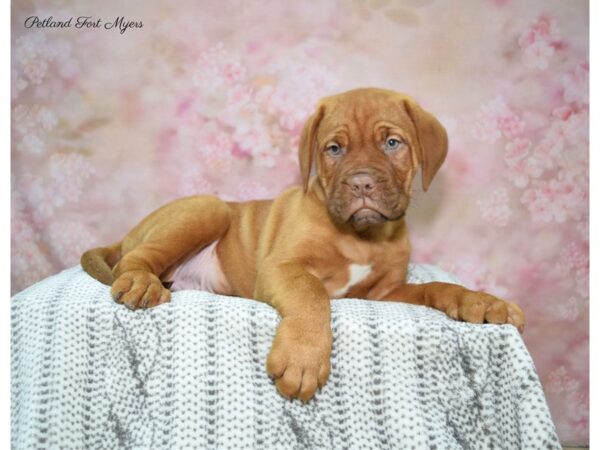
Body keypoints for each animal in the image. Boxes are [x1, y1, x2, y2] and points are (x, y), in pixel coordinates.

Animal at [81, 87, 524, 400]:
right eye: (334, 149)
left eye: (392, 143)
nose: (361, 183)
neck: (362, 237)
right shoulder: (282, 267)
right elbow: (312, 292)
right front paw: (303, 359)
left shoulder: (385, 293)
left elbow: (436, 286)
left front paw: (482, 301)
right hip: (207, 208)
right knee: (135, 259)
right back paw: (141, 282)